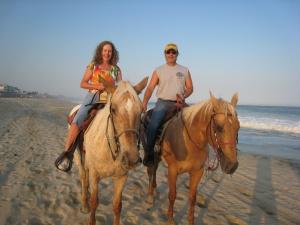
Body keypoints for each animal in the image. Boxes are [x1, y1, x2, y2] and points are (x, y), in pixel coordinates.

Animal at [73, 78, 148, 225]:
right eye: (113, 109)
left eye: (141, 110)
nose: (131, 159)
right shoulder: (94, 174)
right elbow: (94, 202)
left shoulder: (122, 177)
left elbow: (117, 205)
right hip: (80, 161)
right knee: (84, 179)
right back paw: (84, 205)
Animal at [144, 92, 240, 225]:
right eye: (219, 127)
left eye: (238, 127)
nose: (232, 165)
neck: (189, 140)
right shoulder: (172, 170)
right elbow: (172, 195)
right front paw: (170, 220)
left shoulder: (197, 172)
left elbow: (192, 198)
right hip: (150, 155)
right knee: (150, 171)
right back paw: (149, 196)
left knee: (154, 172)